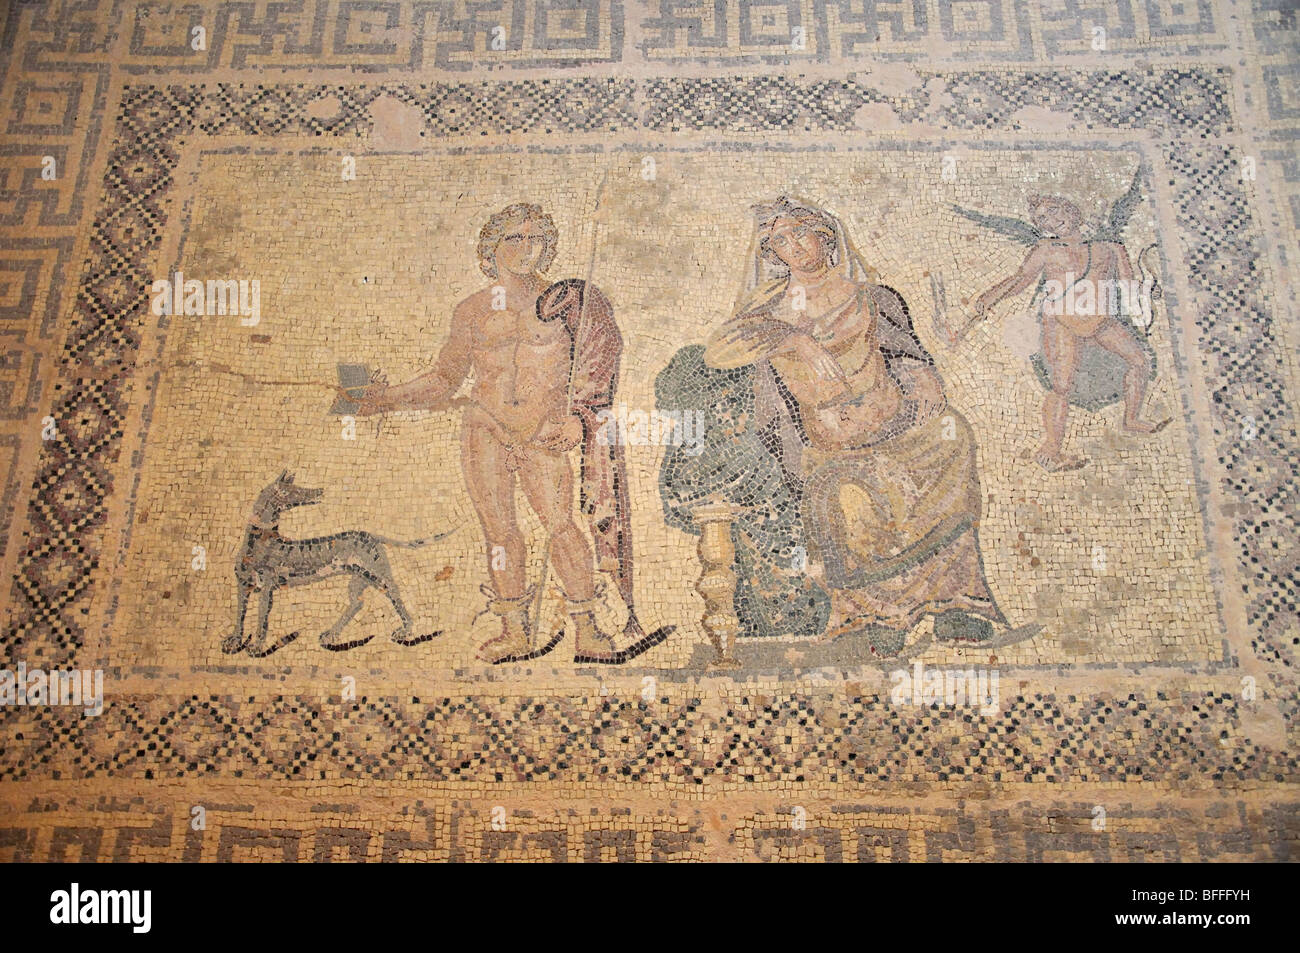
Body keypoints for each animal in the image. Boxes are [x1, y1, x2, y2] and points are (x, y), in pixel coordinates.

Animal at [220, 468, 449, 655]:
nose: (319, 491)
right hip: (359, 579)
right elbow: (240, 615)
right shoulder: (244, 587)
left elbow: (261, 619)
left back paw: (405, 629)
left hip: (377, 573)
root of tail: (372, 536)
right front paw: (235, 642)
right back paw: (331, 634)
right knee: (357, 603)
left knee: (393, 592)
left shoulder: (267, 588)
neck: (259, 541)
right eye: (293, 491)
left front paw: (256, 646)